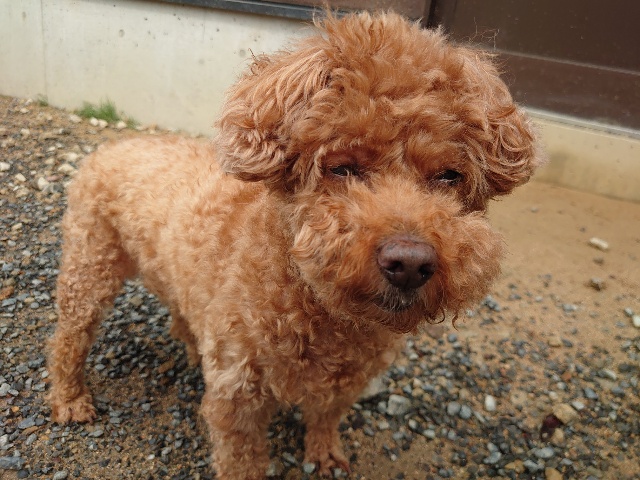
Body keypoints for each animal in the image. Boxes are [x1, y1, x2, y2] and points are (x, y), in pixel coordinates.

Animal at [48, 11, 540, 479]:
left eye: (448, 176)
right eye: (342, 167)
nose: (410, 262)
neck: (306, 299)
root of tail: (115, 144)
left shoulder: (345, 381)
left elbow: (325, 418)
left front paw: (324, 455)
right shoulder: (237, 398)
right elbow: (241, 461)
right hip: (90, 264)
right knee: (69, 337)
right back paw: (70, 399)